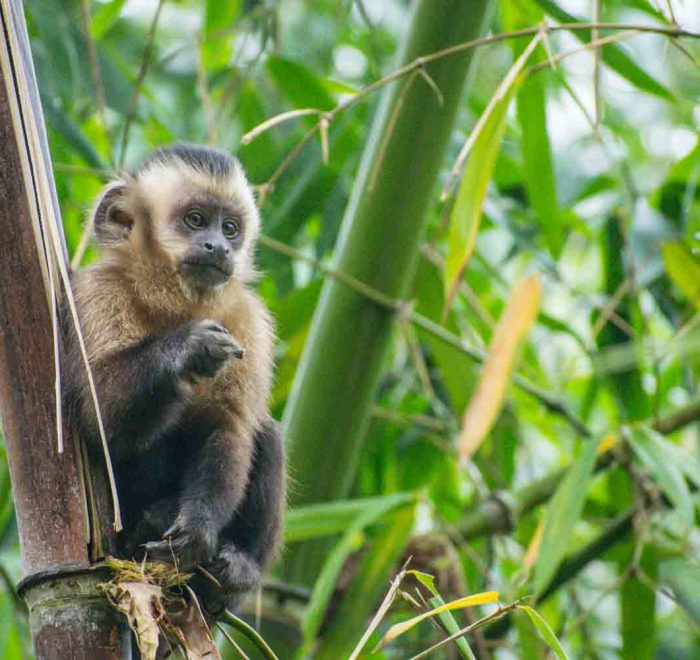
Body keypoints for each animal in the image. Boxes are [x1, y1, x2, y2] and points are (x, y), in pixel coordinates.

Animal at [63, 143, 286, 612]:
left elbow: (228, 424)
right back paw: (150, 522)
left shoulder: (247, 318)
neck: (174, 303)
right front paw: (188, 347)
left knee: (265, 431)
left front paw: (198, 527)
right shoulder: (96, 294)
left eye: (231, 228)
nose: (219, 247)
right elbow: (99, 421)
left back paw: (236, 571)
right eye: (196, 220)